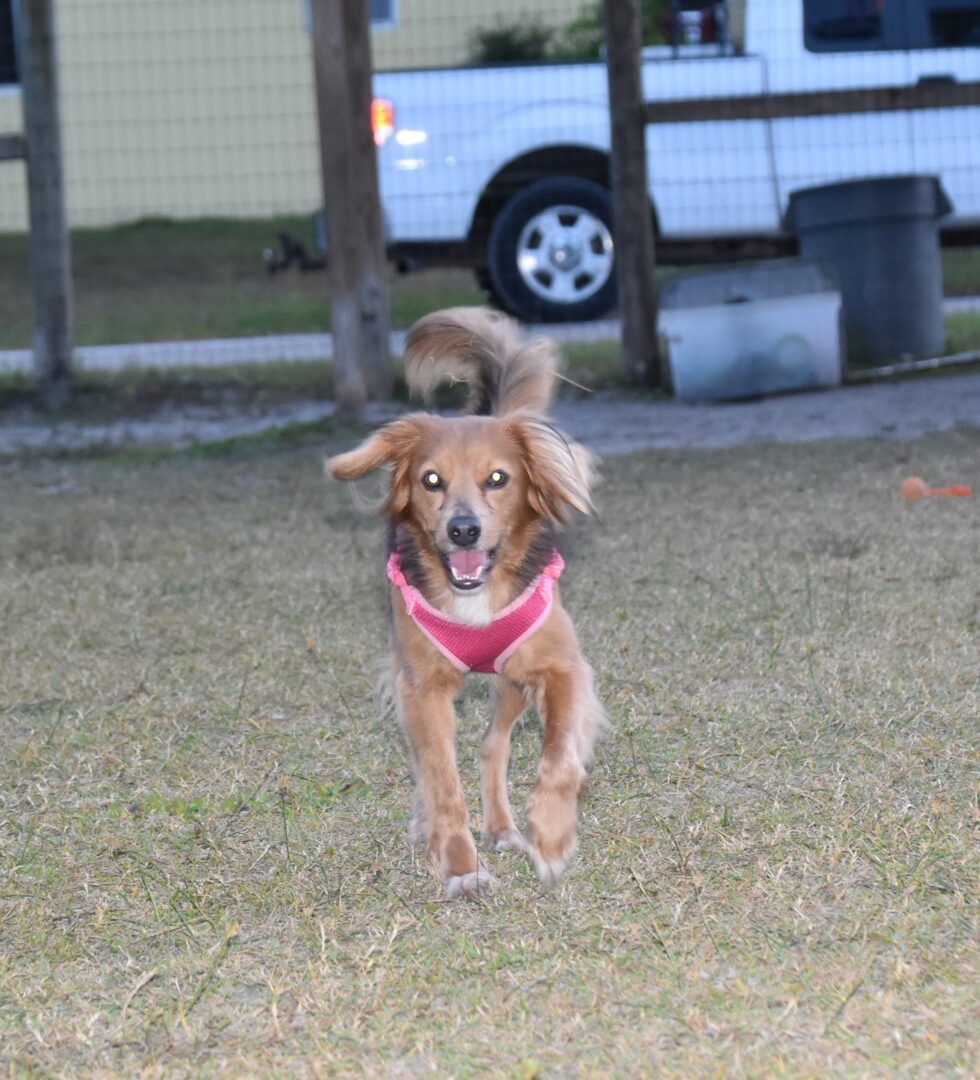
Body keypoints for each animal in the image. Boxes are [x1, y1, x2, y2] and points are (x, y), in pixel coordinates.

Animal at [330, 306, 605, 894]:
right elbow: (440, 779)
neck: (475, 599)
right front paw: (459, 866)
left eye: (498, 478)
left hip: (512, 683)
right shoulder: (421, 689)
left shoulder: (562, 669)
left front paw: (551, 836)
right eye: (430, 480)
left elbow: (559, 758)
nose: (463, 530)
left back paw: (504, 828)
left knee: (491, 745)